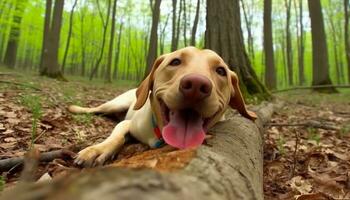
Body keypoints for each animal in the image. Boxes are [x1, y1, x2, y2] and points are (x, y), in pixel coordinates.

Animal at [69, 47, 258, 167]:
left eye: (221, 71)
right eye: (175, 62)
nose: (196, 85)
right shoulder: (127, 124)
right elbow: (117, 137)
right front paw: (97, 150)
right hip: (116, 104)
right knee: (97, 109)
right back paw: (76, 108)